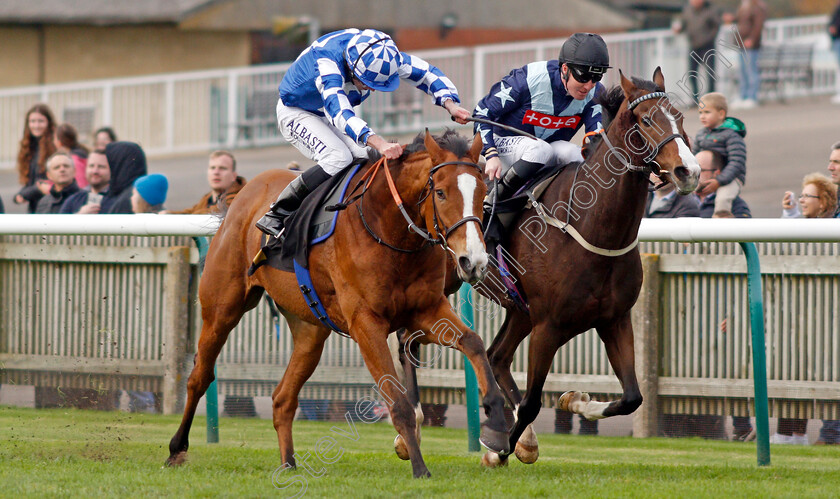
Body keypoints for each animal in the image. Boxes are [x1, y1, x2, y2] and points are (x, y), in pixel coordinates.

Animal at [163, 130, 506, 480]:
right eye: (440, 192)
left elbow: (474, 343)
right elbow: (398, 402)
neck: (389, 229)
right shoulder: (366, 323)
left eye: (483, 191)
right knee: (199, 377)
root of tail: (241, 196)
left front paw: (496, 425)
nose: (473, 261)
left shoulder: (426, 310)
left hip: (310, 331)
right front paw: (419, 467)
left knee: (282, 398)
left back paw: (288, 463)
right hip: (222, 310)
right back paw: (177, 448)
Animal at [400, 68, 704, 466]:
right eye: (646, 120)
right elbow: (531, 402)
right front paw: (497, 450)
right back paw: (412, 426)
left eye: (680, 117)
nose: (689, 171)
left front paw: (574, 401)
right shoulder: (548, 326)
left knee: (497, 356)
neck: (590, 227)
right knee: (408, 339)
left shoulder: (614, 319)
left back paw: (525, 439)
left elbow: (632, 397)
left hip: (519, 309)